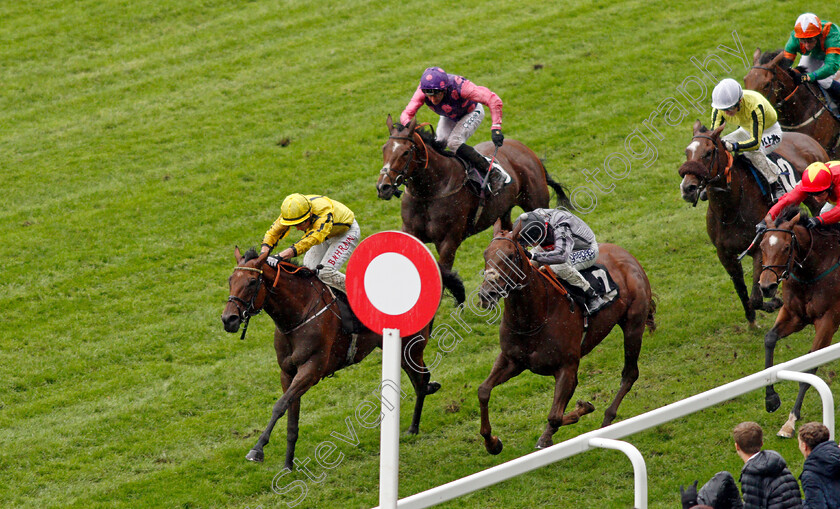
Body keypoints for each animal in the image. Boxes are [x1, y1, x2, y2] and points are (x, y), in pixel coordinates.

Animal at [218, 247, 440, 468]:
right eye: (230, 280)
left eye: (252, 281)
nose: (228, 319)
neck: (298, 315)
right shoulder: (287, 373)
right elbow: (291, 417)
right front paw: (288, 464)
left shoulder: (311, 371)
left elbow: (280, 405)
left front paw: (257, 449)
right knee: (422, 379)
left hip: (410, 347)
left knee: (420, 382)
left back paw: (413, 427)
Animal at [378, 116, 572, 302]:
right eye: (384, 149)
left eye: (405, 152)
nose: (383, 187)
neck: (431, 192)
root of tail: (523, 148)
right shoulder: (410, 232)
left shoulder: (449, 241)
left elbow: (442, 275)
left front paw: (457, 292)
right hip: (504, 213)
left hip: (536, 203)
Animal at [476, 220, 652, 450]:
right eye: (486, 254)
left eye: (510, 256)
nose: (487, 294)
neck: (536, 315)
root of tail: (626, 254)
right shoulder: (511, 360)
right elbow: (483, 390)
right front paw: (492, 442)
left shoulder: (566, 366)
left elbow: (555, 416)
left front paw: (582, 409)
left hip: (633, 325)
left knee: (630, 373)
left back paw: (606, 420)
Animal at [676, 121, 828, 324]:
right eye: (687, 152)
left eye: (708, 153)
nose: (688, 188)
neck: (730, 210)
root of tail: (808, 139)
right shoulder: (725, 254)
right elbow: (742, 291)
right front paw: (751, 319)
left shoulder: (758, 248)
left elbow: (756, 297)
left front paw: (773, 302)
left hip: (817, 199)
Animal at [756, 206, 840, 436]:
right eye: (761, 245)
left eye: (786, 247)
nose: (766, 287)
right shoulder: (793, 314)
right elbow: (769, 339)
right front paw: (771, 399)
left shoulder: (828, 322)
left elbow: (810, 364)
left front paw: (790, 421)